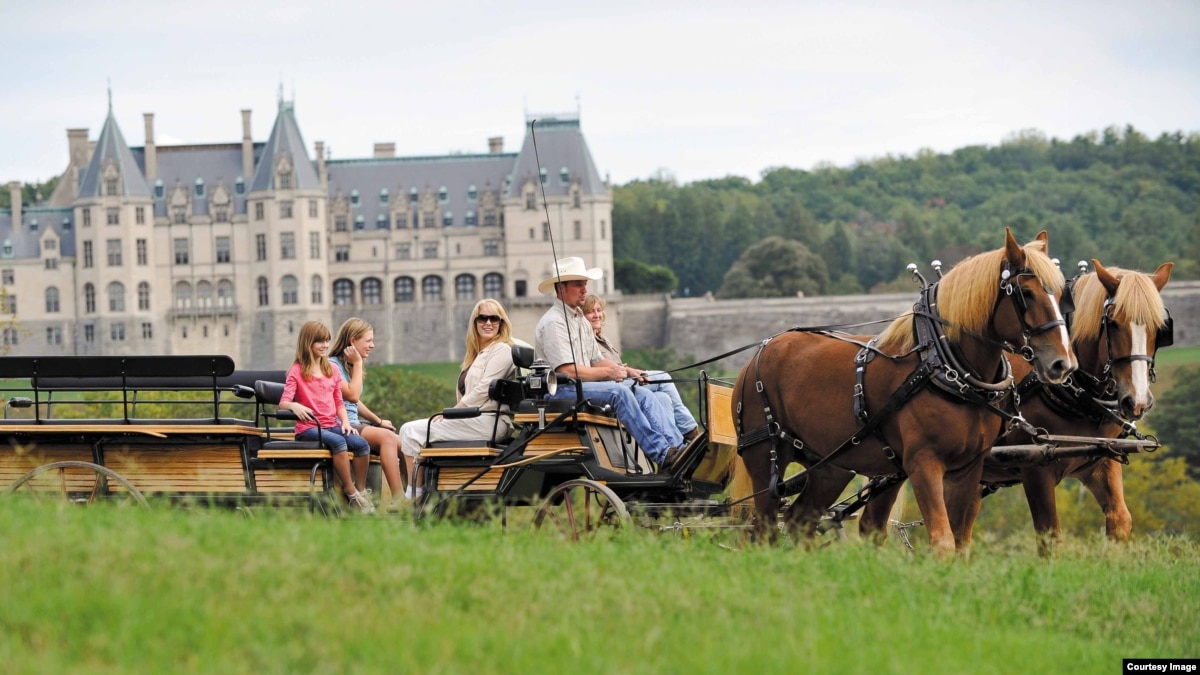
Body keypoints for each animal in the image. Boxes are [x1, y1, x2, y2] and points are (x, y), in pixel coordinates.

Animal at [734, 230, 1075, 552]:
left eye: (1062, 295)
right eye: (1026, 294)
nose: (1063, 364)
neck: (944, 365)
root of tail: (757, 355)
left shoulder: (969, 467)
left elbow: (960, 541)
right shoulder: (923, 463)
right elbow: (942, 540)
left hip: (830, 466)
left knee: (800, 520)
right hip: (766, 458)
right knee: (764, 529)